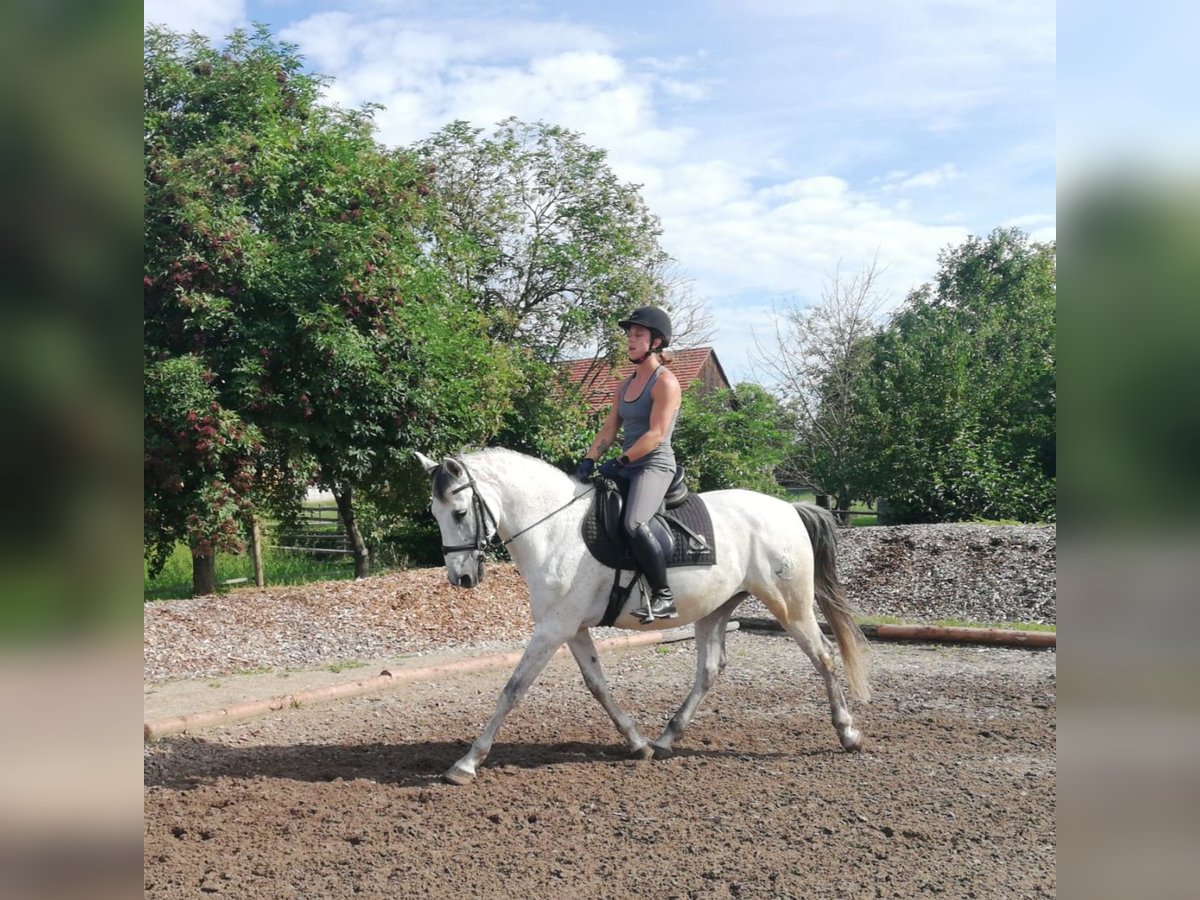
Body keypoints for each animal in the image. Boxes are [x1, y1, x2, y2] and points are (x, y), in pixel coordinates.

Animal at [417, 448, 868, 787]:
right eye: (436, 513)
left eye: (459, 512)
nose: (460, 578)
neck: (554, 529)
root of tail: (790, 509)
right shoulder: (572, 629)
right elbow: (598, 685)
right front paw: (638, 743)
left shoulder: (552, 629)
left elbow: (512, 689)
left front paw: (466, 763)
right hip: (715, 609)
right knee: (710, 669)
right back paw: (667, 738)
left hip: (790, 606)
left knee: (824, 657)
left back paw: (847, 733)